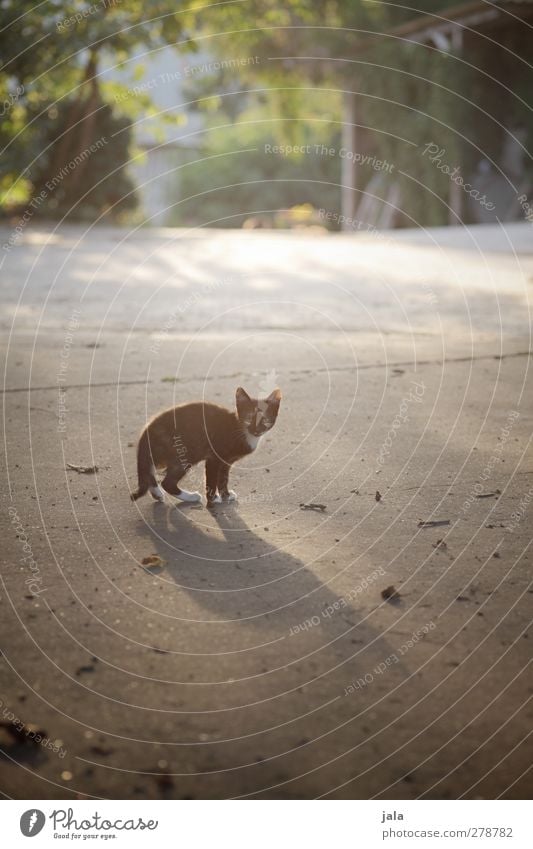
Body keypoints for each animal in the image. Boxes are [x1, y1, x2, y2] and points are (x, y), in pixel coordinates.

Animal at [130, 388, 280, 506]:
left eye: (265, 419)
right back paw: (191, 497)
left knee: (149, 471)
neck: (241, 430)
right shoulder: (214, 458)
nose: (256, 430)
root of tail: (147, 430)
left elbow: (223, 479)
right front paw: (214, 499)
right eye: (249, 418)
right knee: (167, 482)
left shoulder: (226, 462)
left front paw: (226, 495)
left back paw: (157, 493)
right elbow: (212, 478)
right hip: (183, 452)